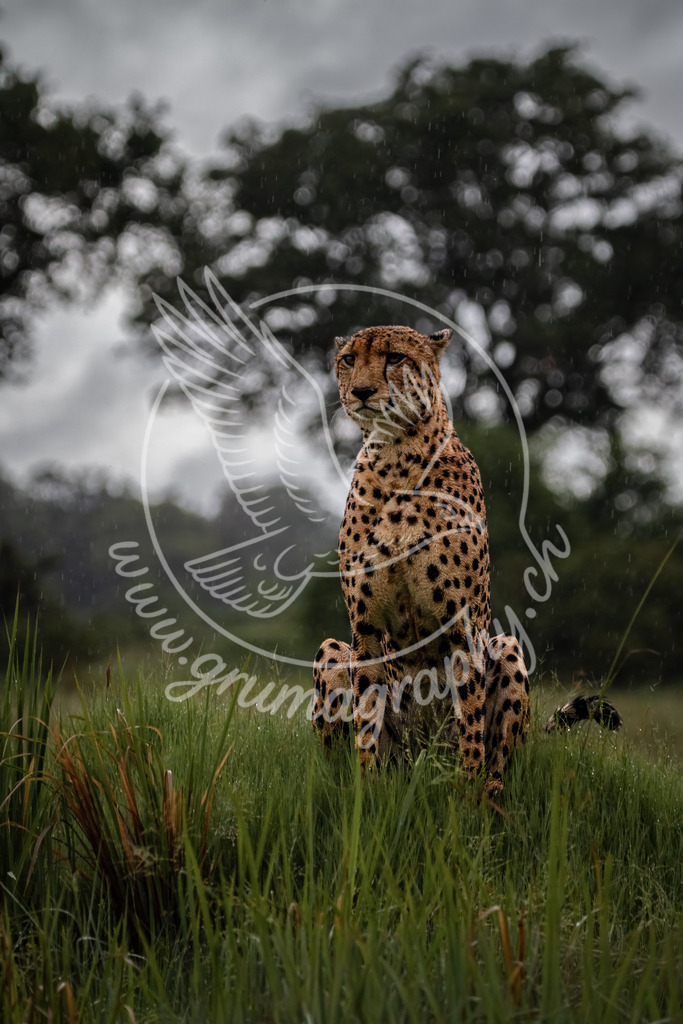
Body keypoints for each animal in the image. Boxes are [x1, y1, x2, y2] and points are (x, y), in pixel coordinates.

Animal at [311, 324, 530, 794]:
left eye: (395, 357)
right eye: (349, 359)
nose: (361, 391)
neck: (395, 457)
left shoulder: (463, 626)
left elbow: (470, 720)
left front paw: (465, 795)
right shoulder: (366, 629)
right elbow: (367, 719)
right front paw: (367, 792)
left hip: (504, 647)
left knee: (497, 763)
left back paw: (486, 792)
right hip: (334, 650)